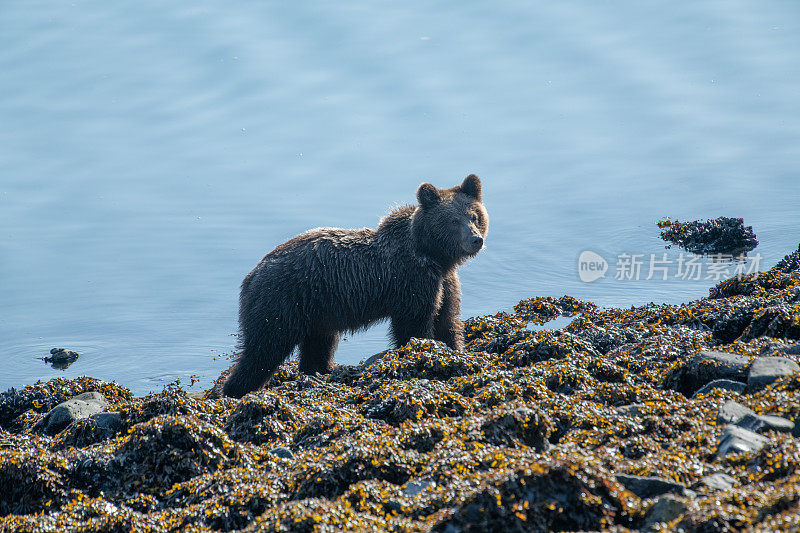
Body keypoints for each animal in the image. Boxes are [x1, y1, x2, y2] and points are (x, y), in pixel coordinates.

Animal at [222, 174, 490, 394]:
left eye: (474, 216)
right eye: (453, 221)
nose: (476, 239)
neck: (433, 255)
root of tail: (250, 276)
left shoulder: (444, 282)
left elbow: (447, 319)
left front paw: (456, 354)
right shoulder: (411, 282)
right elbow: (414, 325)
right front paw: (422, 353)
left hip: (317, 312)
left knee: (318, 345)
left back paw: (321, 372)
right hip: (281, 303)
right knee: (263, 349)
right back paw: (235, 390)